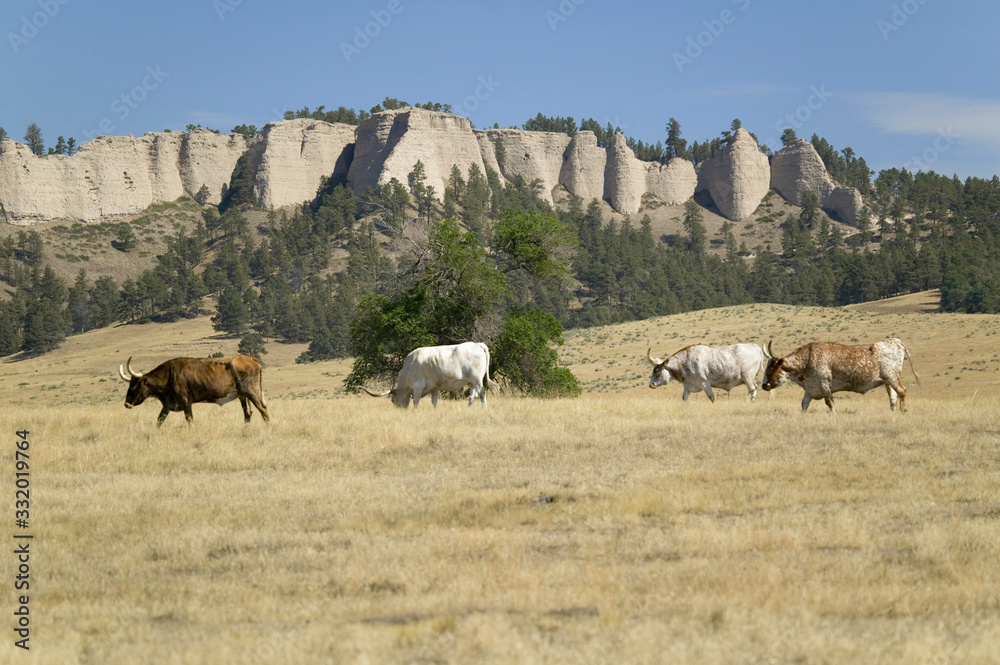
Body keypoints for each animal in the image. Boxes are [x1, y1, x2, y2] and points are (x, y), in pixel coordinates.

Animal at [118, 355, 270, 425]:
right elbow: (159, 420)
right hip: (242, 396)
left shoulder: (185, 401)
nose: (127, 404)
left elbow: (189, 419)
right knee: (248, 413)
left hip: (252, 392)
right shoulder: (167, 405)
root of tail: (250, 358)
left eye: (135, 386)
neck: (169, 375)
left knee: (263, 409)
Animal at [361, 342, 490, 408]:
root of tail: (478, 344)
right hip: (471, 382)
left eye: (393, 401)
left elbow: (416, 402)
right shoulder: (435, 388)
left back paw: (484, 409)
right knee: (472, 397)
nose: (400, 410)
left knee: (482, 394)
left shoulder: (418, 386)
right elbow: (434, 402)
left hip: (477, 380)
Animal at [761, 338, 919, 412]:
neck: (807, 359)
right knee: (893, 397)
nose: (763, 386)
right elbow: (804, 404)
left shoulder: (824, 385)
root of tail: (894, 341)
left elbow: (830, 403)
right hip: (887, 382)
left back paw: (903, 410)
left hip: (893, 378)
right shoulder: (811, 388)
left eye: (770, 370)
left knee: (902, 391)